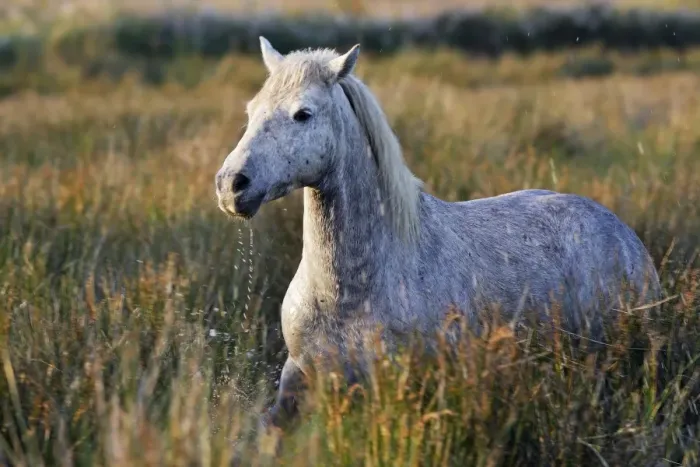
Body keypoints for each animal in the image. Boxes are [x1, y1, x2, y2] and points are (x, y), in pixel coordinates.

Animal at [214, 37, 661, 432]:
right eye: (252, 110)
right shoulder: (299, 379)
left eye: (303, 114)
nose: (231, 184)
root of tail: (627, 237)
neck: (346, 291)